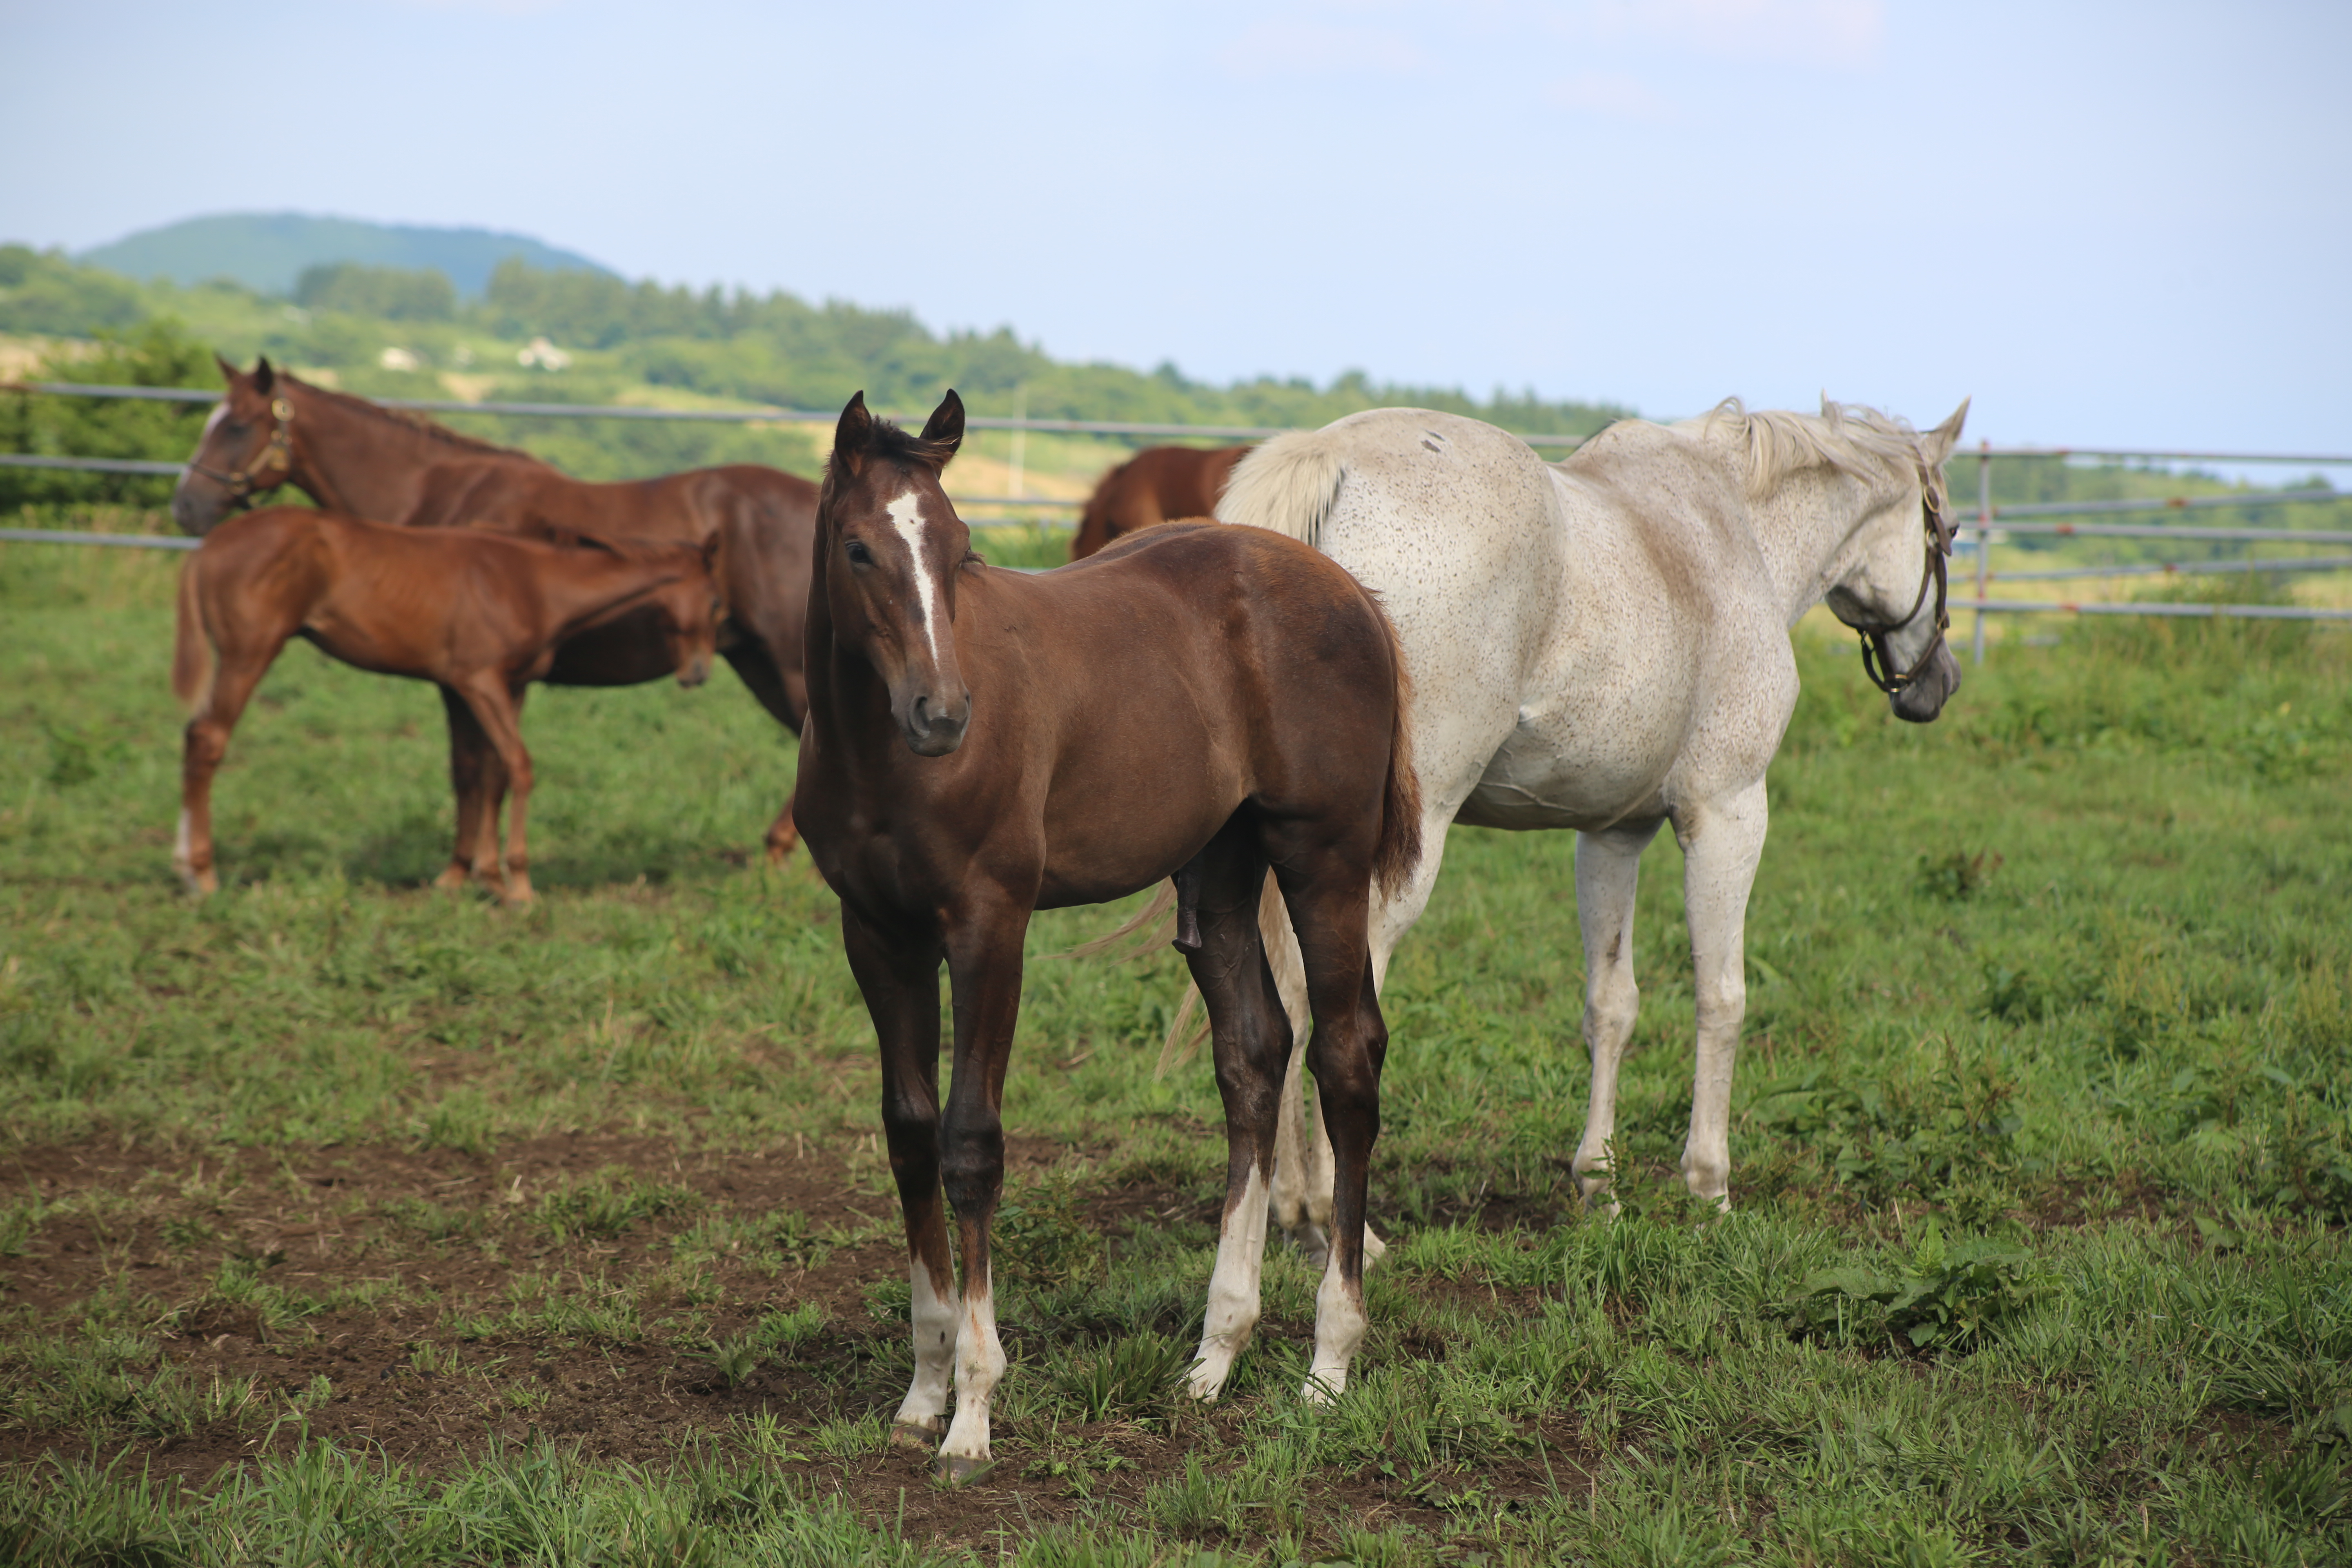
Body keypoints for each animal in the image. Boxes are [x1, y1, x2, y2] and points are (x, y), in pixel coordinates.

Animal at [170, 510, 715, 902]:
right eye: (714, 606)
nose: (698, 674)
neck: (531, 581)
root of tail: (210, 545)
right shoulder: (480, 682)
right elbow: (520, 767)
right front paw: (519, 884)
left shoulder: (503, 687)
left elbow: (487, 774)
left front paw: (483, 877)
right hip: (249, 654)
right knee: (209, 739)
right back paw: (202, 873)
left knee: (194, 736)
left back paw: (184, 865)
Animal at [174, 355, 818, 865]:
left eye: (235, 426)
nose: (186, 506)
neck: (439, 493)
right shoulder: (475, 676)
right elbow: (474, 770)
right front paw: (470, 869)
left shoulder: (481, 677)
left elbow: (483, 770)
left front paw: (478, 870)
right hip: (759, 666)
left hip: (788, 667)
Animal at [1214, 392, 1966, 1260]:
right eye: (1947, 530)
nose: (1938, 683)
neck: (1732, 526)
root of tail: (1329, 460)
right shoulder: (1729, 813)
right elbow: (1722, 997)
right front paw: (1709, 1189)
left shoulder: (1612, 837)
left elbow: (1613, 1004)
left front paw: (1598, 1186)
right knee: (1326, 1007)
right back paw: (1335, 1225)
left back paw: (1287, 1212)